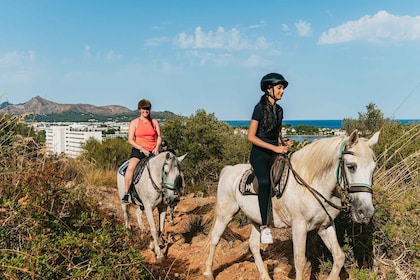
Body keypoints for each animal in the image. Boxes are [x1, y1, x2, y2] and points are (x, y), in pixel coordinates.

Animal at [204, 130, 380, 278]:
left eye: (373, 169)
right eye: (351, 167)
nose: (366, 212)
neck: (312, 184)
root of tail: (228, 169)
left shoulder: (325, 226)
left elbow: (339, 257)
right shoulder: (299, 227)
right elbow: (300, 261)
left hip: (256, 220)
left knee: (253, 245)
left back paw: (265, 276)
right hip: (226, 214)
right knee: (215, 239)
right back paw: (208, 273)